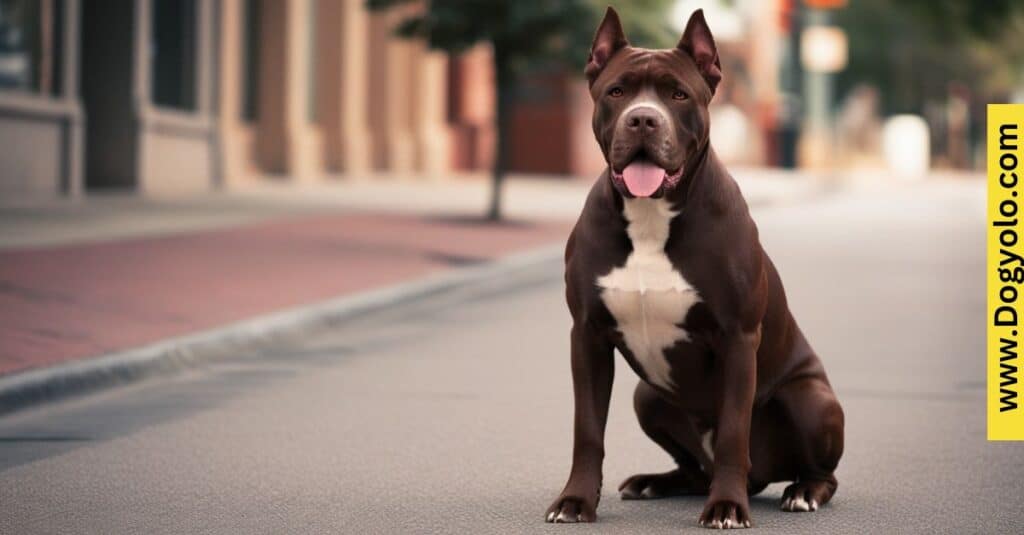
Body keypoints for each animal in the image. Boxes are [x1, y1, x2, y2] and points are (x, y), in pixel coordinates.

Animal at [544, 8, 839, 528]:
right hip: (647, 397)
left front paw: (727, 507)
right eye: (617, 91)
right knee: (692, 467)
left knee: (817, 470)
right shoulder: (588, 335)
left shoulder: (738, 338)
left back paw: (803, 491)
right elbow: (588, 429)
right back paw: (652, 482)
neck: (650, 215)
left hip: (811, 400)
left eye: (678, 94)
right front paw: (575, 500)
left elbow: (733, 435)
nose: (643, 119)